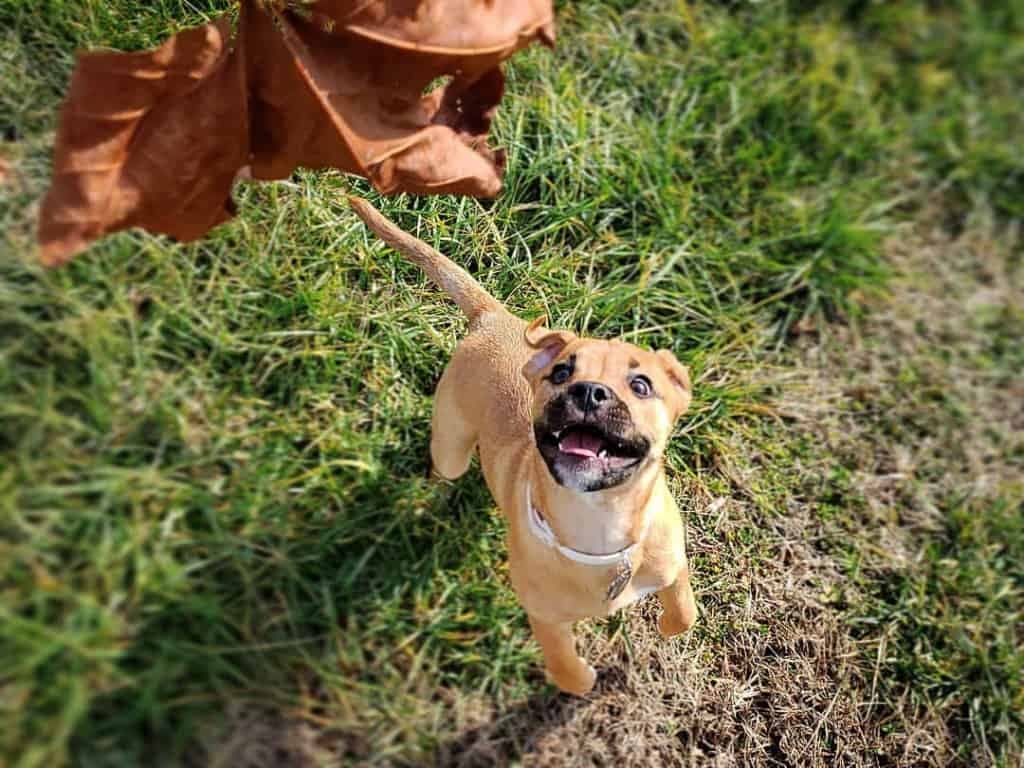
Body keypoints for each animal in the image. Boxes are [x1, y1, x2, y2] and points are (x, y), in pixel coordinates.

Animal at [350, 198, 696, 696]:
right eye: (562, 373)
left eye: (641, 385)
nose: (589, 392)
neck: (600, 524)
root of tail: (494, 318)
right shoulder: (545, 617)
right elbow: (565, 665)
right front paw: (580, 680)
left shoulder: (672, 559)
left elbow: (685, 609)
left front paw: (669, 626)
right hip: (451, 445)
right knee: (444, 468)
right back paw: (432, 496)